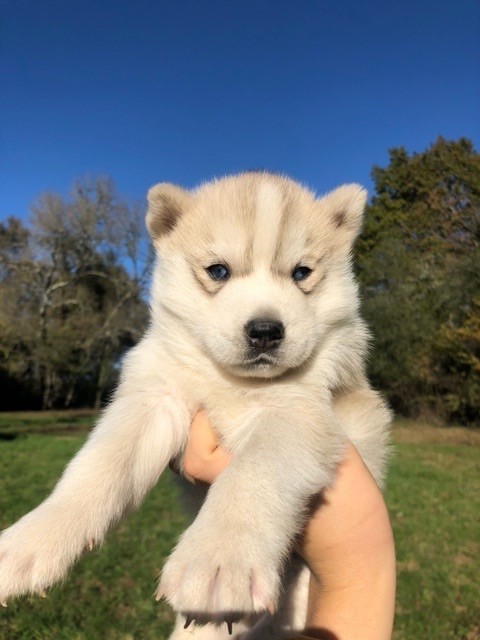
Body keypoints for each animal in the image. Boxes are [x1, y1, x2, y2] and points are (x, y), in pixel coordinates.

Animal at [0, 171, 390, 640]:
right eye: (217, 271)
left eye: (302, 273)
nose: (265, 331)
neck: (228, 381)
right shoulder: (153, 398)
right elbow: (97, 468)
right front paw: (31, 540)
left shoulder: (299, 416)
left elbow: (252, 474)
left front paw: (219, 558)